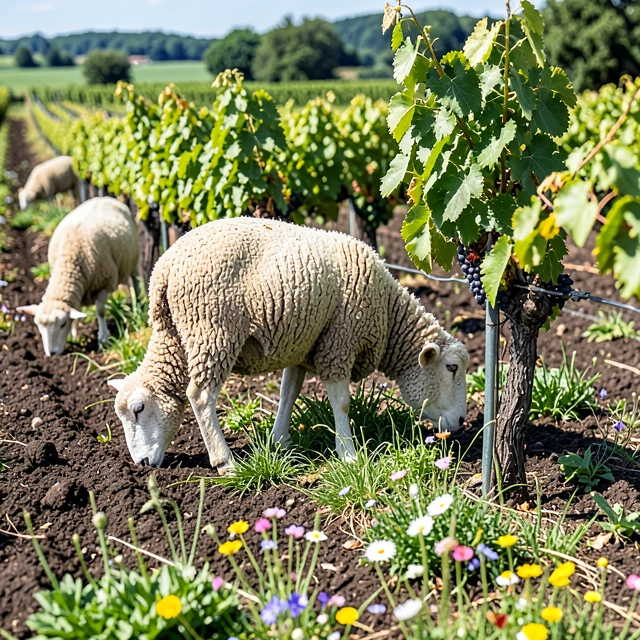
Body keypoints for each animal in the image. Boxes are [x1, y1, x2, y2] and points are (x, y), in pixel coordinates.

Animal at [18, 197, 140, 355]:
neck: (69, 260)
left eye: (62, 324)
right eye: (38, 325)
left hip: (134, 260)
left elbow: (100, 312)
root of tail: (104, 197)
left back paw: (138, 302)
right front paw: (73, 335)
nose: (52, 354)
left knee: (136, 279)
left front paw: (103, 338)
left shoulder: (105, 283)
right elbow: (75, 312)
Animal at [107, 217, 469, 471]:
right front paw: (348, 454)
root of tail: (164, 270)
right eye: (452, 368)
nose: (463, 423)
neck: (389, 314)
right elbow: (342, 403)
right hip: (212, 330)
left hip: (197, 332)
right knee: (200, 395)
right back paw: (225, 462)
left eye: (137, 410)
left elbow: (288, 392)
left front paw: (280, 442)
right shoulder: (340, 342)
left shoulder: (304, 344)